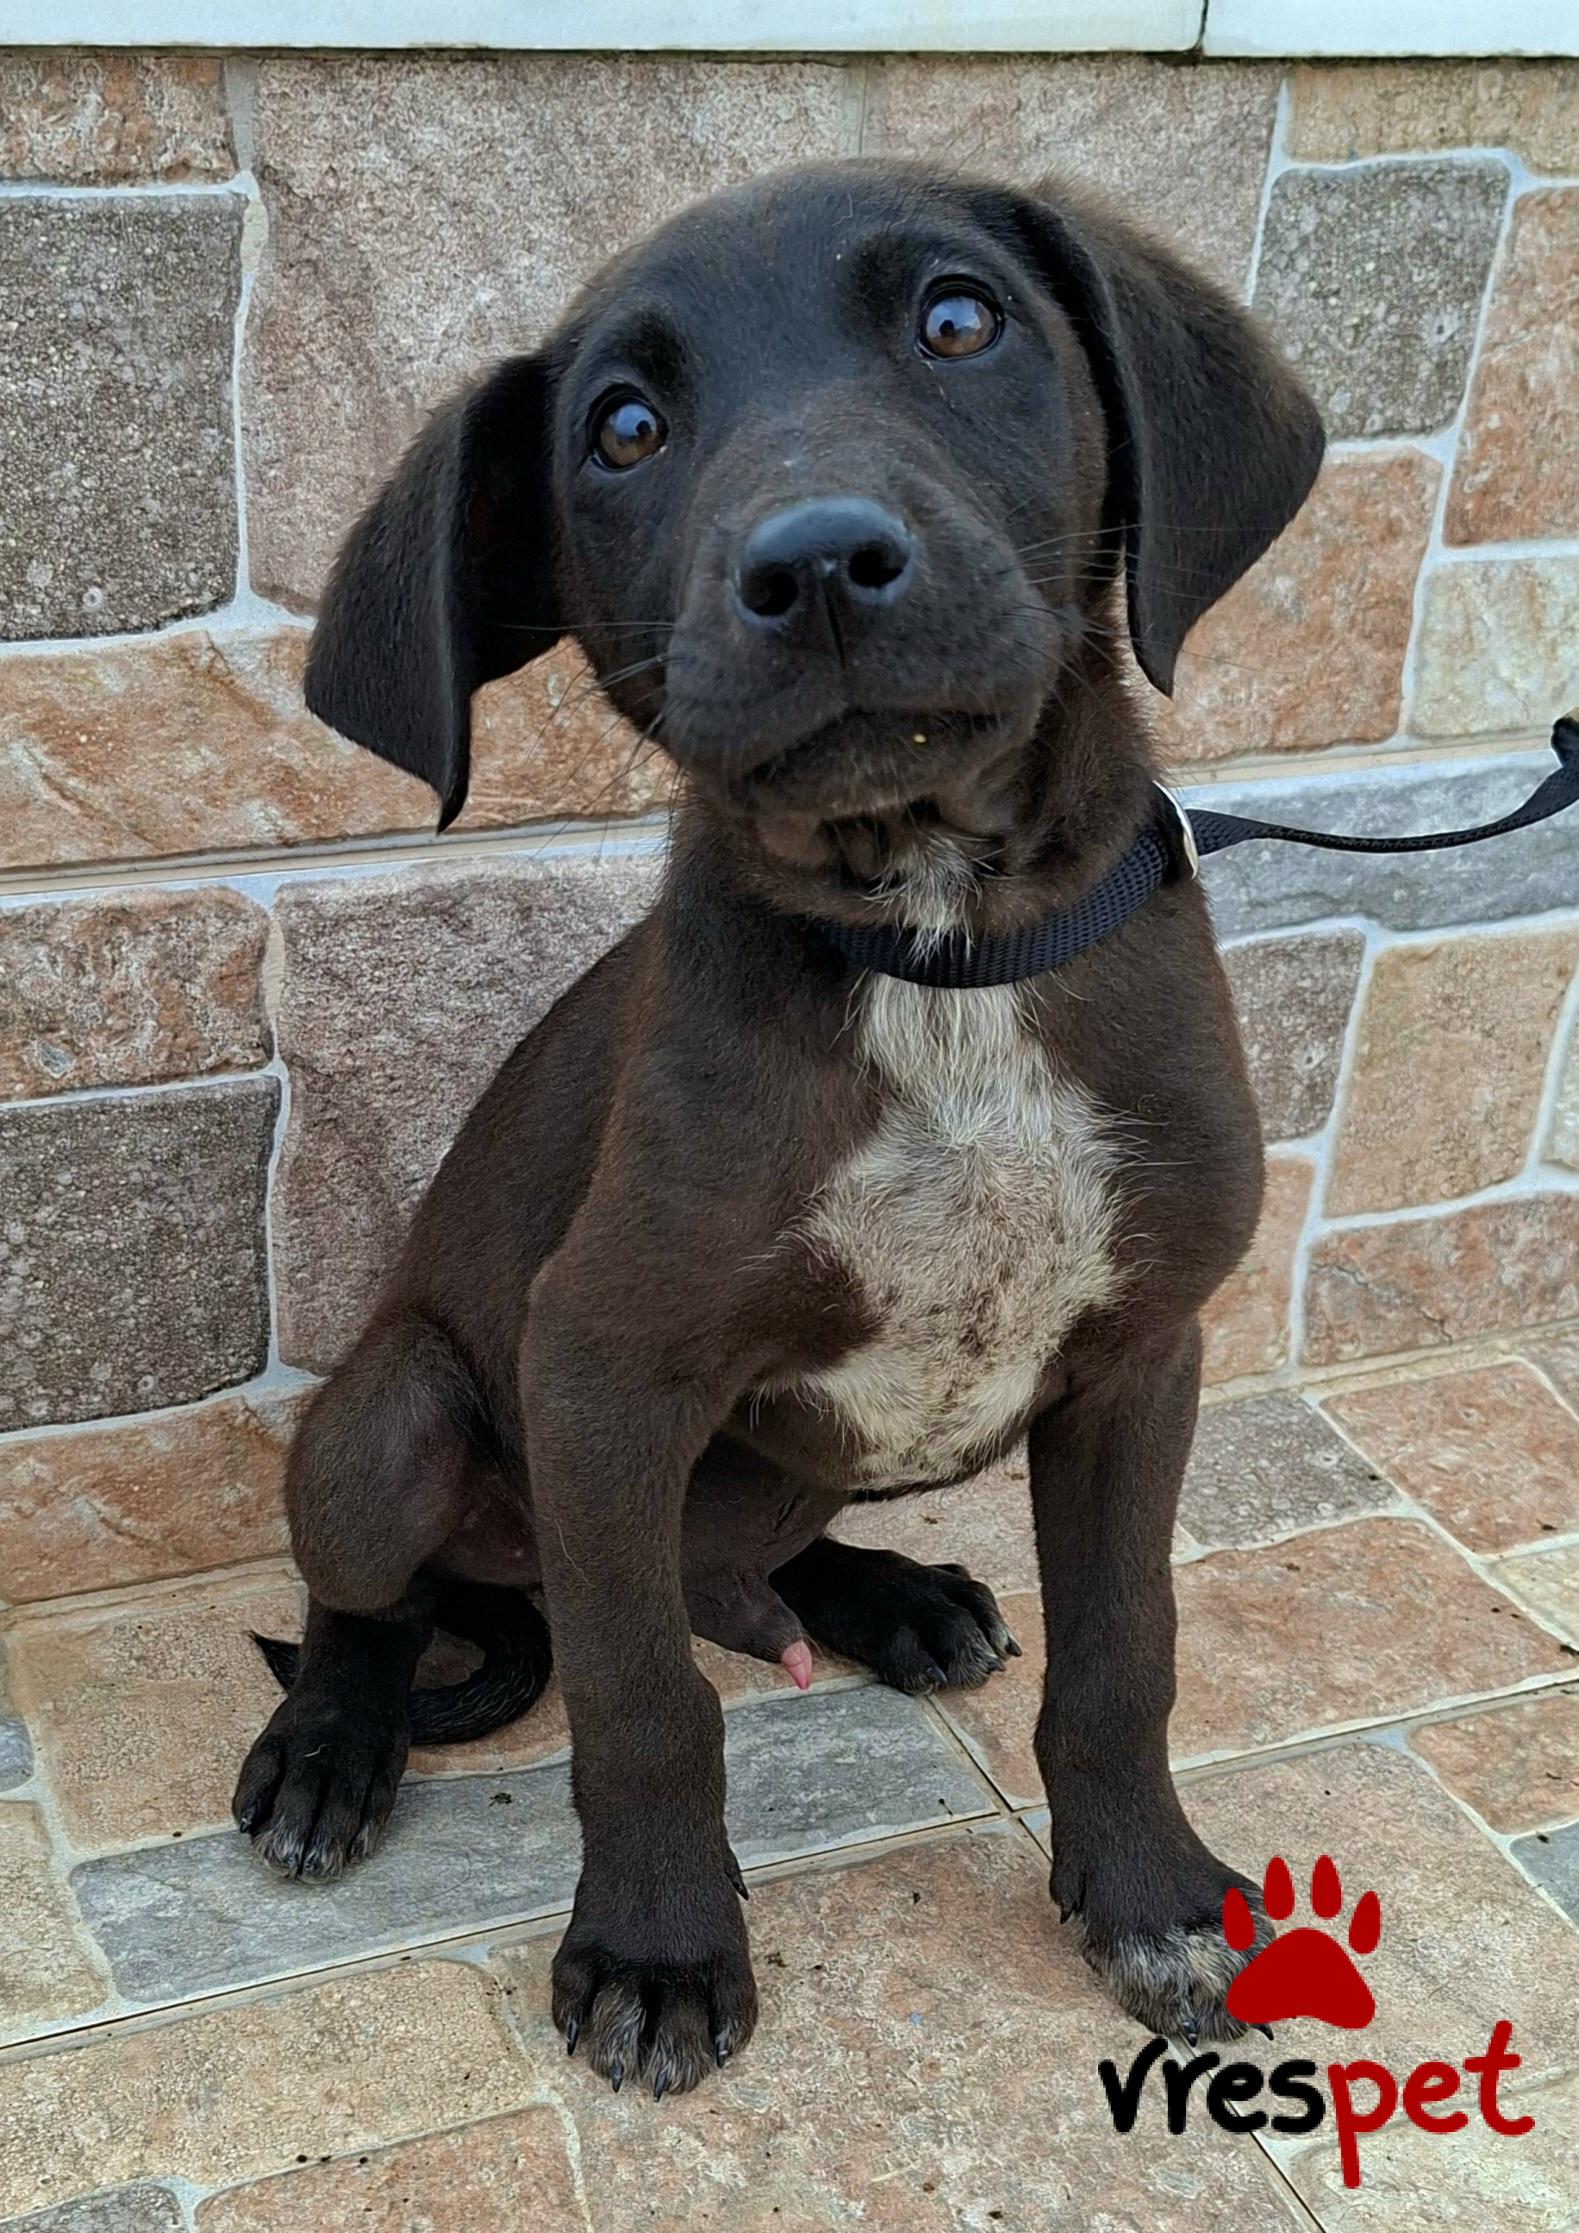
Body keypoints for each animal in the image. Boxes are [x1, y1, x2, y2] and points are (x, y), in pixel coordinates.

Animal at [233, 158, 1324, 2098]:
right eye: (623, 429)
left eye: (958, 320)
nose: (813, 563)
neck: (934, 940)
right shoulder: (598, 1370)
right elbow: (642, 1703)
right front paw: (659, 1946)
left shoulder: (1140, 1352)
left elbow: (1123, 1652)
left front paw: (1147, 1895)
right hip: (396, 1417)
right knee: (395, 1596)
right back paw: (331, 1743)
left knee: (742, 1549)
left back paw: (882, 1595)